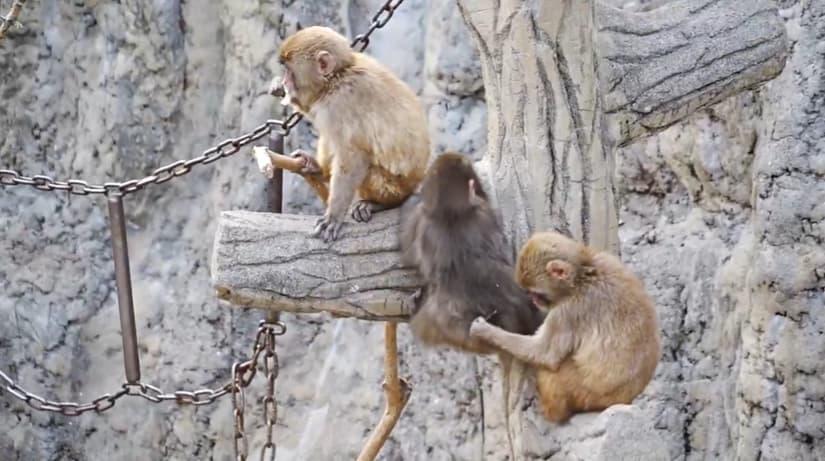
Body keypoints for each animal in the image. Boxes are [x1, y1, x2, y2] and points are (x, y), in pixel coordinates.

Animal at [263, 26, 430, 242]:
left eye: (290, 71)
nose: (285, 81)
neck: (339, 76)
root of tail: (417, 183)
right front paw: (278, 88)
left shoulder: (341, 101)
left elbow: (353, 155)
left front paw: (334, 215)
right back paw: (317, 168)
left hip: (393, 188)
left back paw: (378, 204)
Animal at [469, 231, 661, 423]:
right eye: (531, 293)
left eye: (536, 293)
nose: (534, 301)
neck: (581, 276)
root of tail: (626, 398)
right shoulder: (608, 259)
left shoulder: (567, 312)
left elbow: (545, 354)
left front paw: (485, 330)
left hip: (585, 392)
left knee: (553, 373)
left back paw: (552, 412)